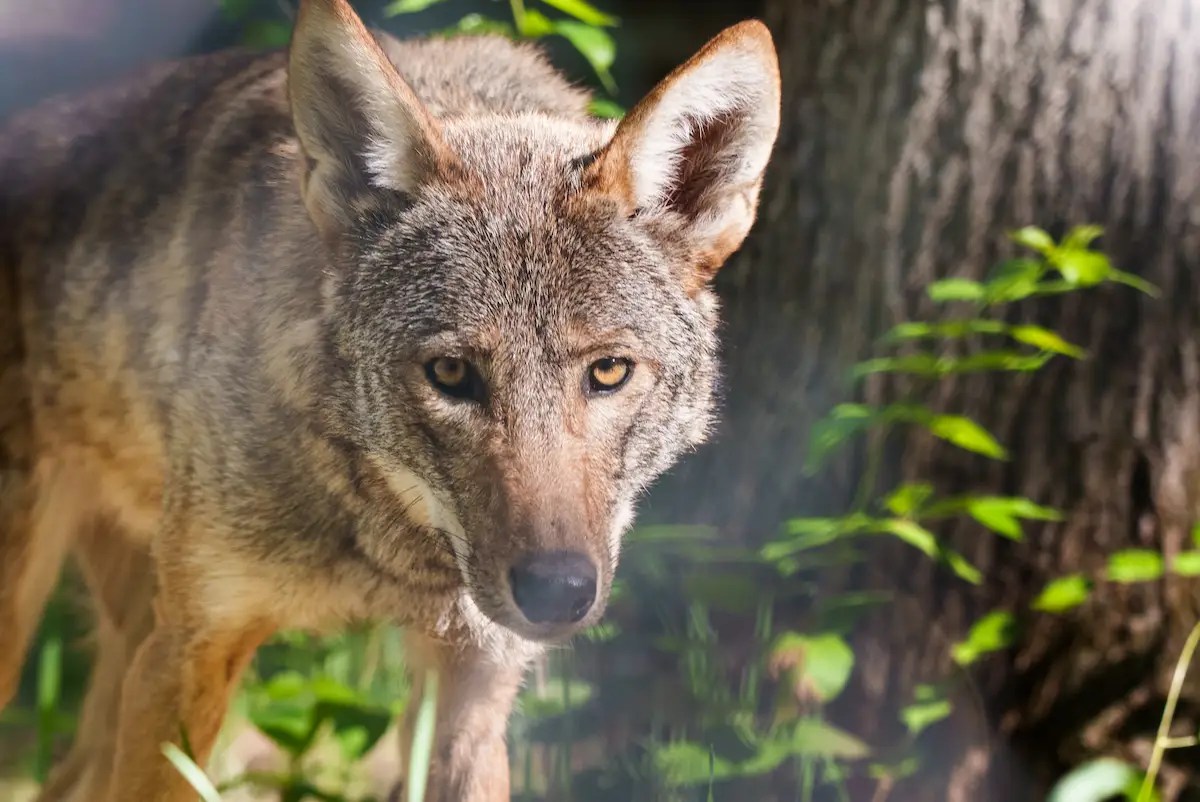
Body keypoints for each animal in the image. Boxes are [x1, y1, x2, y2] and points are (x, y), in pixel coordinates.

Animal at [0, 0, 780, 798]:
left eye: (610, 371)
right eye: (450, 373)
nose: (557, 591)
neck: (392, 547)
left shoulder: (474, 685)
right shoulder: (192, 648)